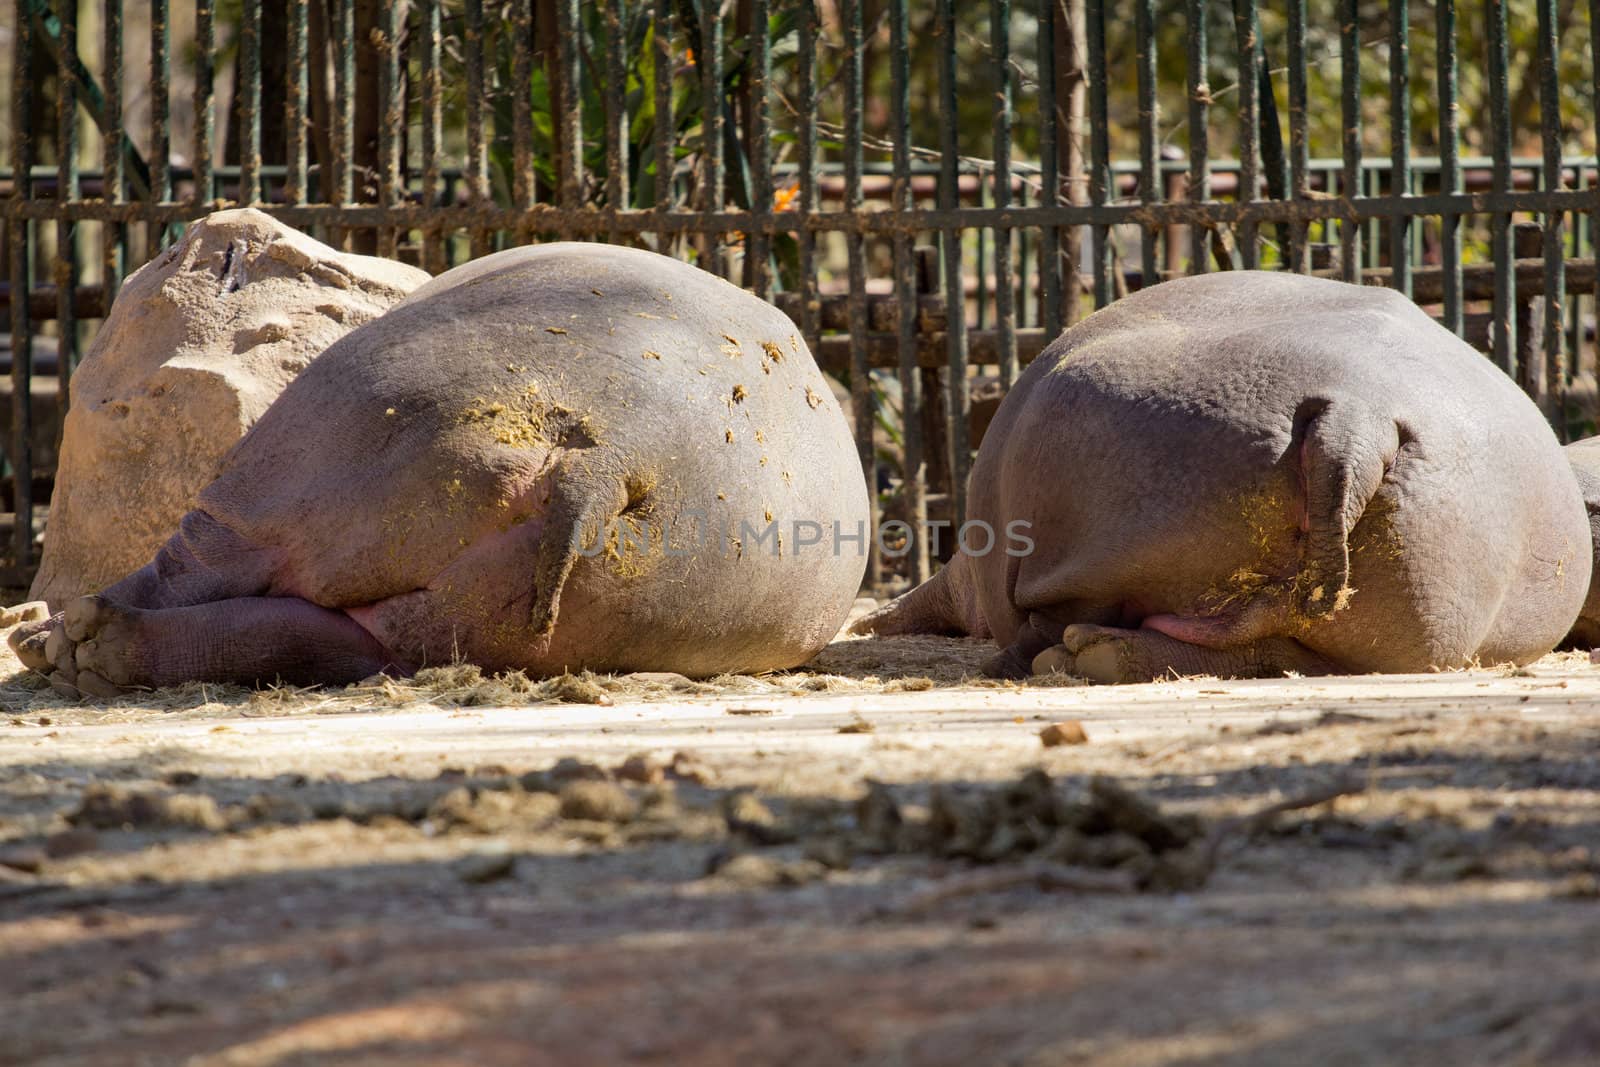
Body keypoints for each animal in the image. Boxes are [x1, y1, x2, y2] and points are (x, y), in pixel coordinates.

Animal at [851, 271, 1587, 681]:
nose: (868, 623)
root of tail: (1361, 415)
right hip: (1407, 625)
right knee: (1271, 651)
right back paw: (1095, 658)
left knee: (1045, 621)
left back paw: (1060, 658)